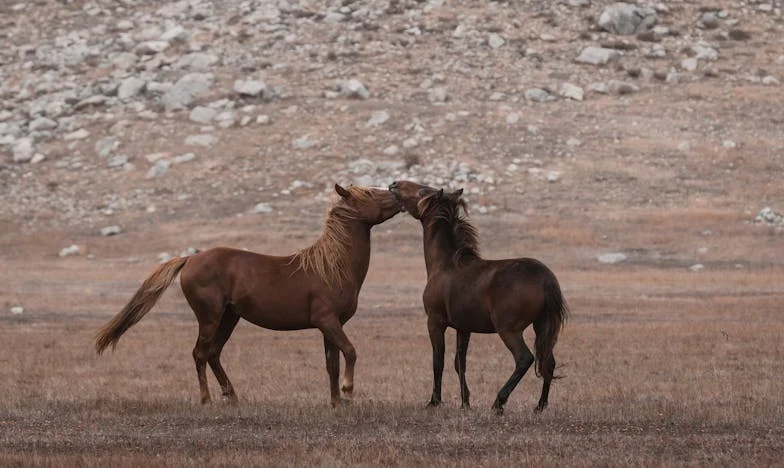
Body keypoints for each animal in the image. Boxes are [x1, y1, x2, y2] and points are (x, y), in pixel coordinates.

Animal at [97, 185, 402, 408]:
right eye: (369, 194)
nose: (396, 191)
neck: (332, 266)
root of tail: (191, 258)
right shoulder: (327, 321)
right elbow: (350, 352)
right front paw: (348, 392)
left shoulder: (330, 326)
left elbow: (333, 364)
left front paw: (337, 403)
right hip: (209, 317)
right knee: (200, 353)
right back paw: (207, 400)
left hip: (229, 317)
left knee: (213, 353)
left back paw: (232, 396)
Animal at [388, 179, 568, 414]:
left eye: (423, 191)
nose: (394, 184)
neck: (445, 265)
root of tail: (545, 278)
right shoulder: (463, 328)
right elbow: (459, 363)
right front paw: (465, 402)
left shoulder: (435, 322)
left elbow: (438, 361)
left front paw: (434, 401)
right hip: (543, 326)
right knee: (548, 361)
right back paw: (540, 406)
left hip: (509, 330)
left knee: (525, 359)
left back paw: (499, 402)